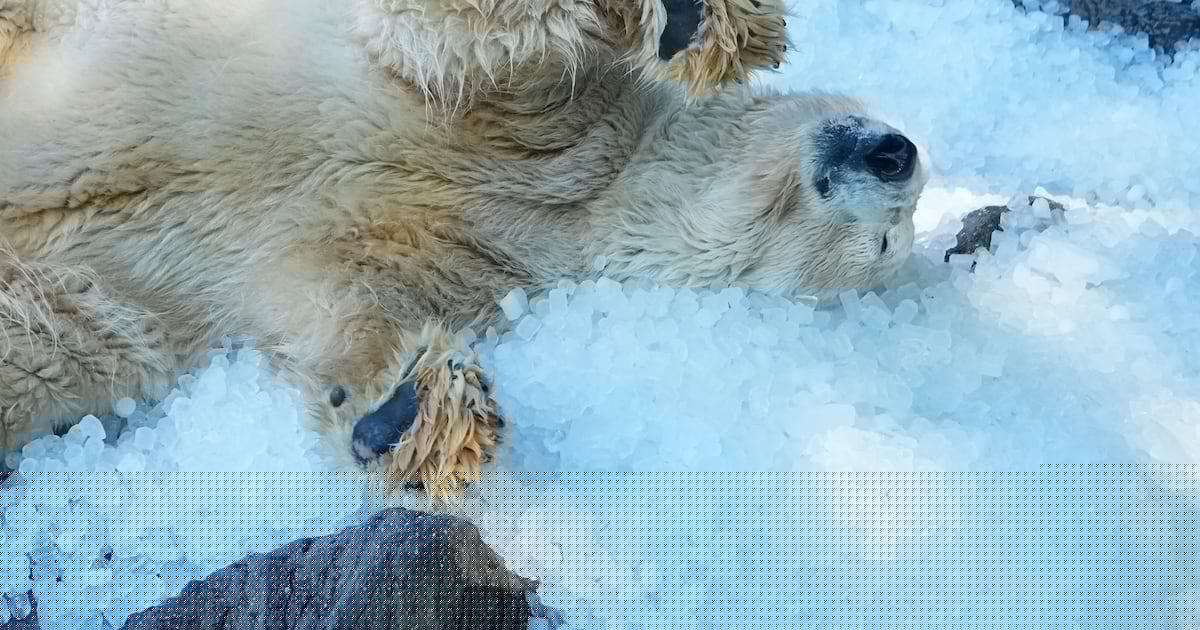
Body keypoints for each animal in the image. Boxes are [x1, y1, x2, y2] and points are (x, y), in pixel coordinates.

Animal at [0, 0, 928, 503]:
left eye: (888, 238)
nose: (898, 152)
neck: (580, 195)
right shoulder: (543, 128)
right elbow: (456, 40)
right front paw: (696, 21)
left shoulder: (479, 256)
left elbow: (345, 309)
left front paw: (412, 416)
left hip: (107, 302)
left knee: (53, 338)